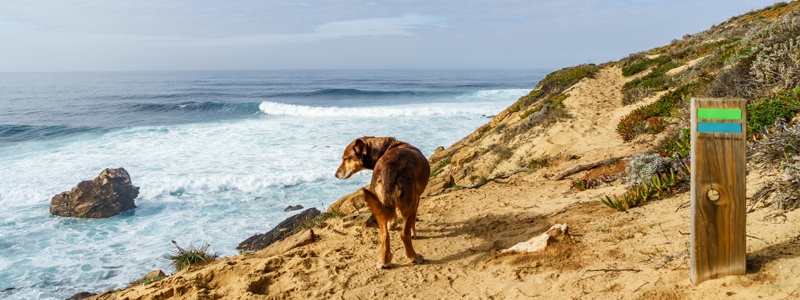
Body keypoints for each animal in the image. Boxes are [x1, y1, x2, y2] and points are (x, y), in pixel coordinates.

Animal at [332, 137, 428, 268]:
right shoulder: (417, 198)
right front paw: (413, 233)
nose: (335, 175)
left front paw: (392, 224)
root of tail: (389, 168)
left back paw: (384, 261)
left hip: (377, 204)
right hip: (409, 204)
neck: (387, 146)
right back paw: (413, 257)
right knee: (404, 234)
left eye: (345, 159)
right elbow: (412, 223)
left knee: (384, 236)